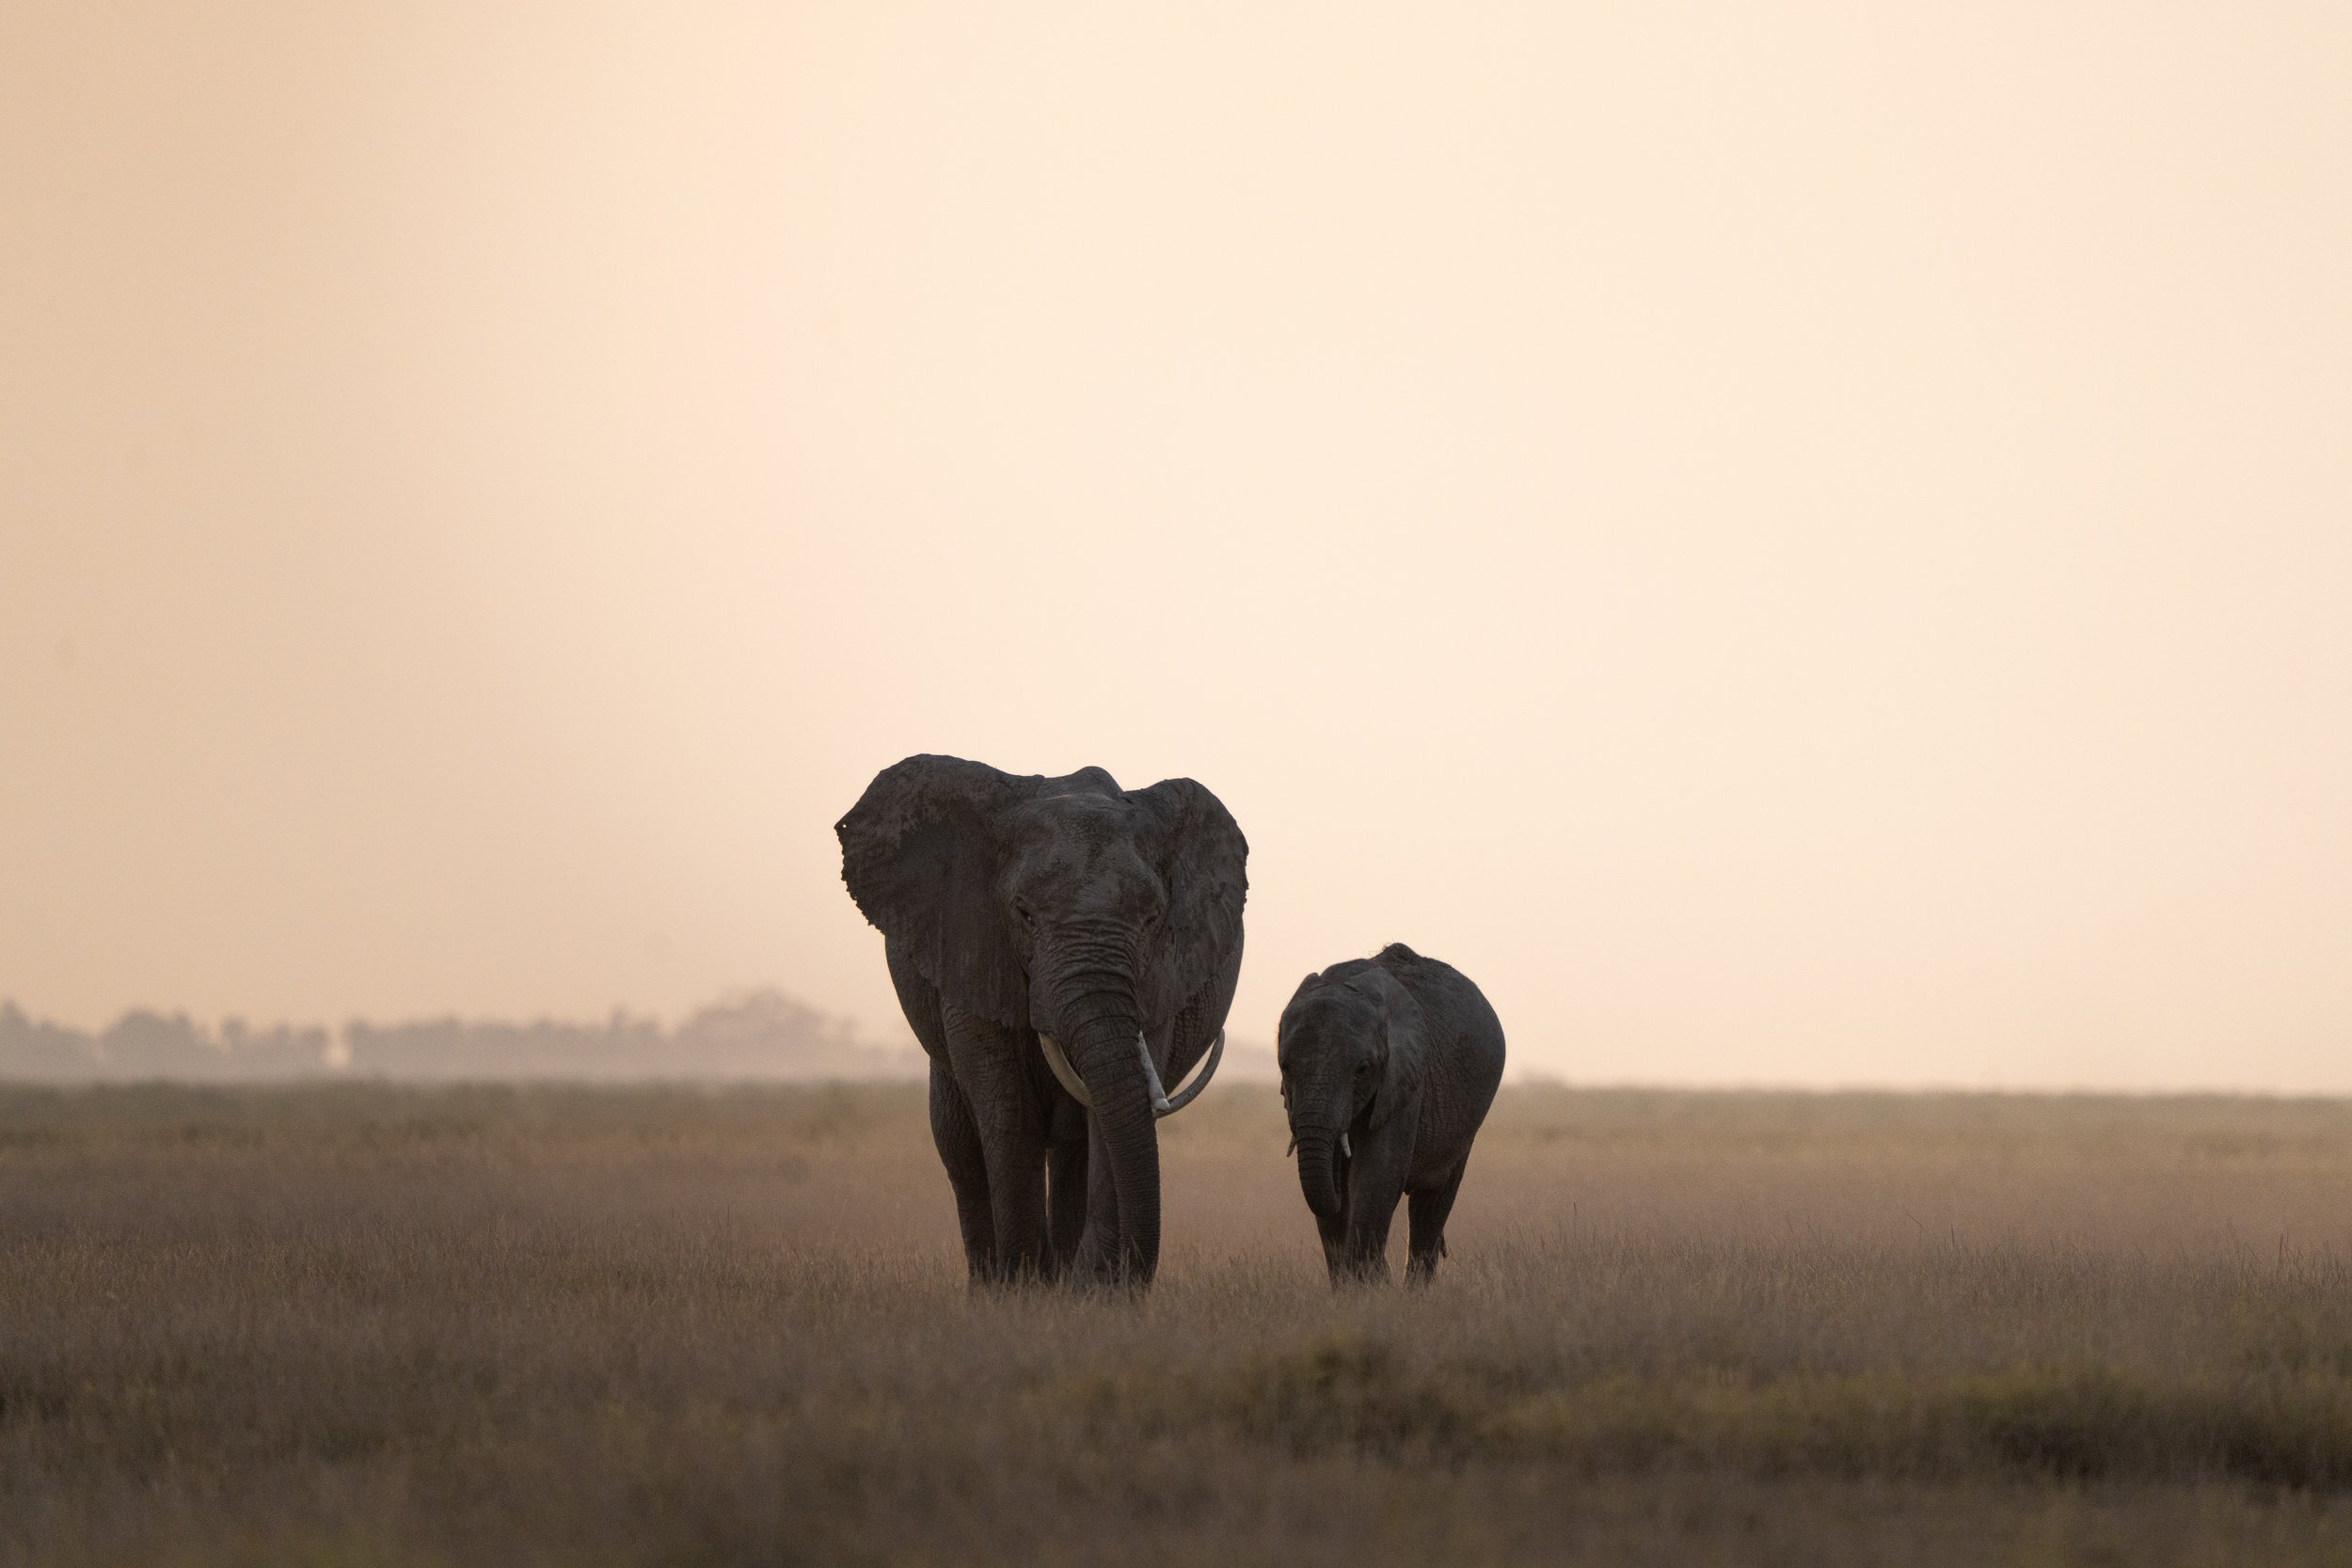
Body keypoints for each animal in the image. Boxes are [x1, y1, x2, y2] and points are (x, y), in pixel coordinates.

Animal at [838, 754, 1247, 1287]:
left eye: (1153, 918)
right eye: (1024, 914)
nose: (1125, 1279)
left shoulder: (1159, 978)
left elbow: (1116, 1101)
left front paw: (1093, 1290)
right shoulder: (971, 945)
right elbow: (1008, 1109)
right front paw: (1022, 1290)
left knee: (1074, 1147)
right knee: (959, 1146)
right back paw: (996, 1285)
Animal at [1278, 943, 1505, 1285]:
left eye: (1362, 1069)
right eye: (1285, 1067)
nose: (1384, 1270)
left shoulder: (1404, 1080)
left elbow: (1378, 1172)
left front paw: (1370, 1285)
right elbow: (1335, 1180)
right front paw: (1354, 1288)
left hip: (1466, 1123)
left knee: (1431, 1204)